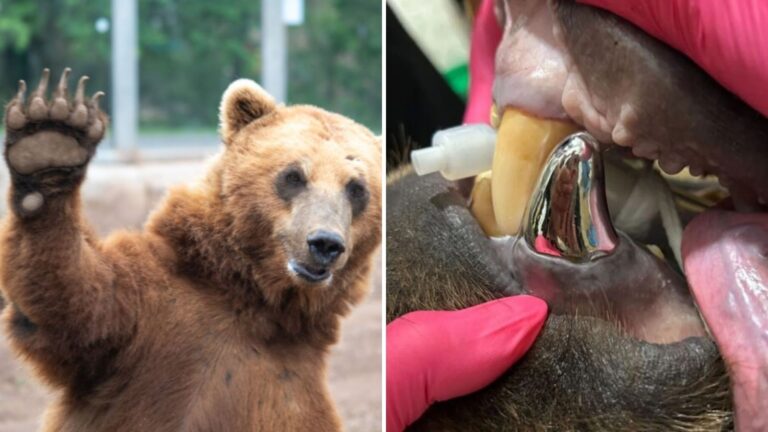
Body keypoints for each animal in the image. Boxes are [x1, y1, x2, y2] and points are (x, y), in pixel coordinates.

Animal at [0, 68, 381, 431]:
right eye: (293, 175)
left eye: (356, 188)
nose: (325, 243)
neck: (259, 301)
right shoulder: (151, 319)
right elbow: (82, 306)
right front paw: (50, 142)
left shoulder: (292, 384)